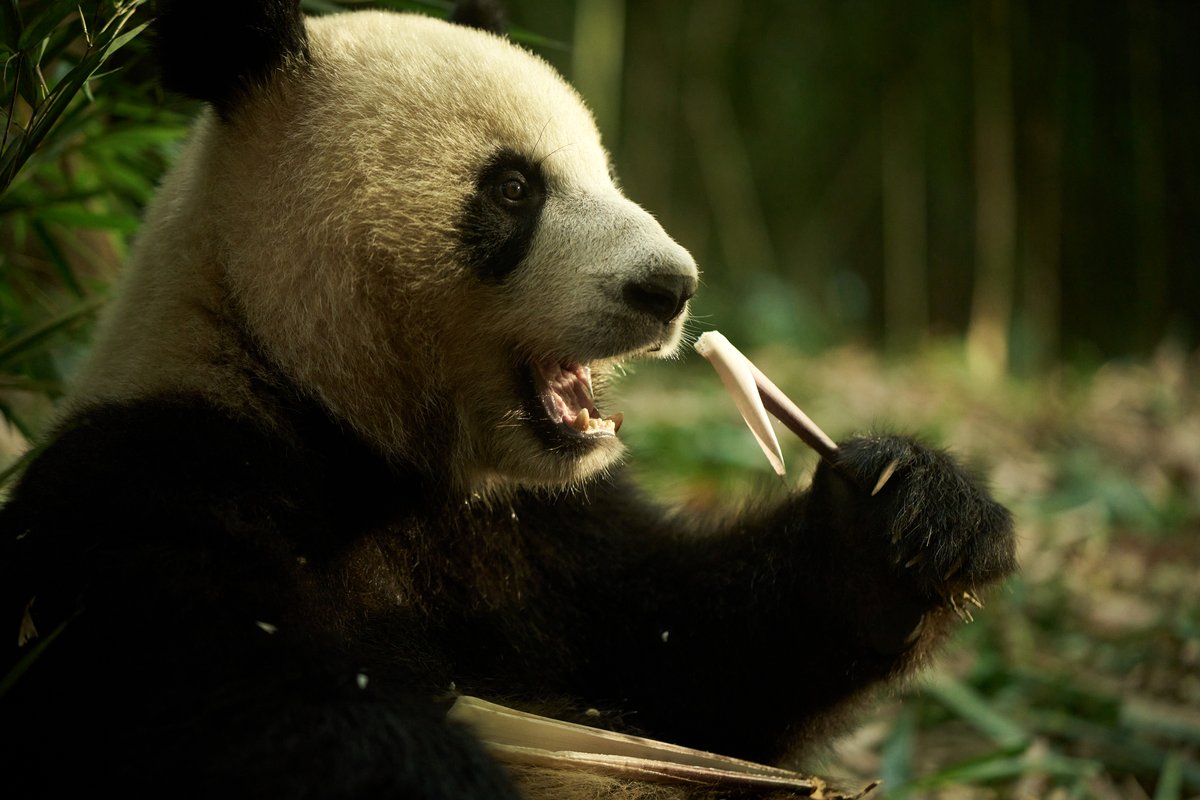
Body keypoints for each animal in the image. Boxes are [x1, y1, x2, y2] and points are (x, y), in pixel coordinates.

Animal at [0, 1, 1016, 798]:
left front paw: (910, 518)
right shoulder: (154, 475)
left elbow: (688, 667)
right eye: (514, 187)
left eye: (605, 171)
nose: (670, 287)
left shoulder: (549, 532)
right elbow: (221, 700)